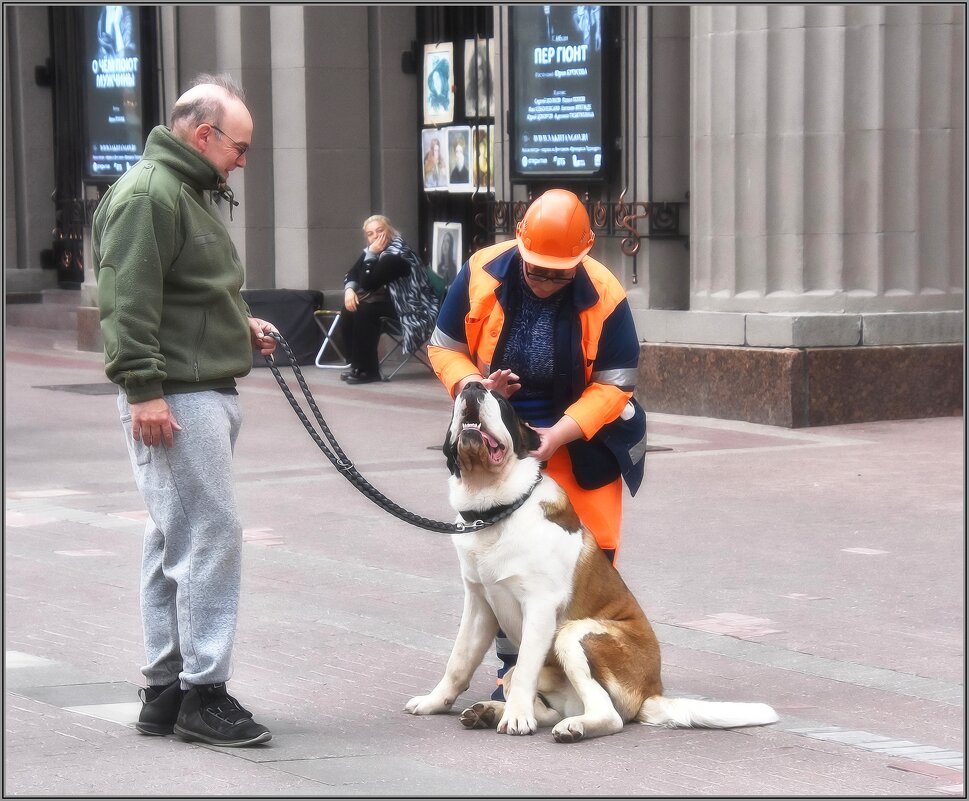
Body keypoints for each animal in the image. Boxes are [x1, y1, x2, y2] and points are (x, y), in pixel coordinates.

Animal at [402, 382, 780, 744]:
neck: (494, 509)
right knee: (533, 695)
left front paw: (517, 719)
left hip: (575, 634)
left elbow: (524, 667)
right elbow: (459, 660)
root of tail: (650, 693)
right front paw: (435, 702)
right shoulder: (480, 602)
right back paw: (490, 711)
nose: (473, 387)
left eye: (502, 401)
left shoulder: (539, 607)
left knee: (606, 714)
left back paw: (569, 727)